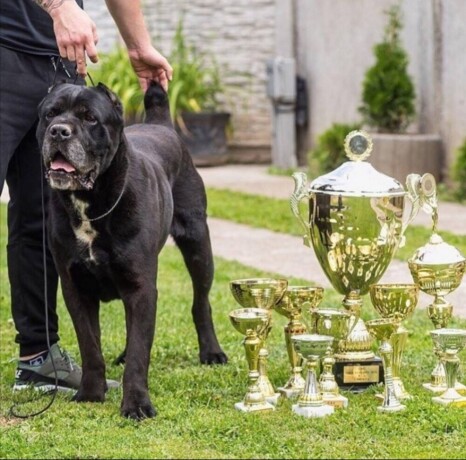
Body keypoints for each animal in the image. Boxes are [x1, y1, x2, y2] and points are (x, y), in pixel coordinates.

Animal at [36, 81, 228, 418]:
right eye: (51, 114)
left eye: (89, 118)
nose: (59, 131)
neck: (89, 204)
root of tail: (162, 124)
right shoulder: (76, 288)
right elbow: (91, 345)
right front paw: (90, 393)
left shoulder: (140, 285)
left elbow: (140, 351)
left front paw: (137, 405)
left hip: (198, 242)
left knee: (200, 302)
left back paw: (212, 352)